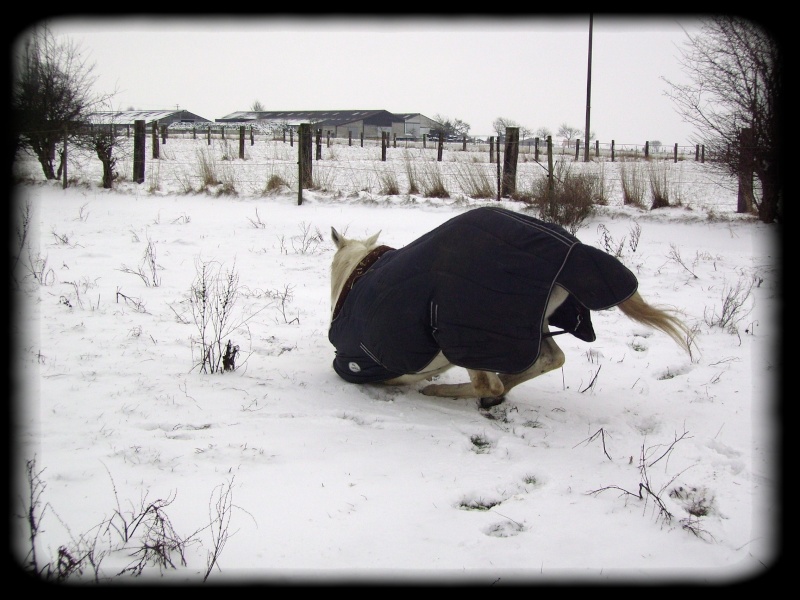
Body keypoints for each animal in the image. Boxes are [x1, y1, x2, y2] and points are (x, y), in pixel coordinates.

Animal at [328, 206, 692, 408]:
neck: (356, 277)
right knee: (548, 360)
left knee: (488, 383)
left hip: (465, 334)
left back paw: (446, 392)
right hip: (526, 325)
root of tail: (574, 250)